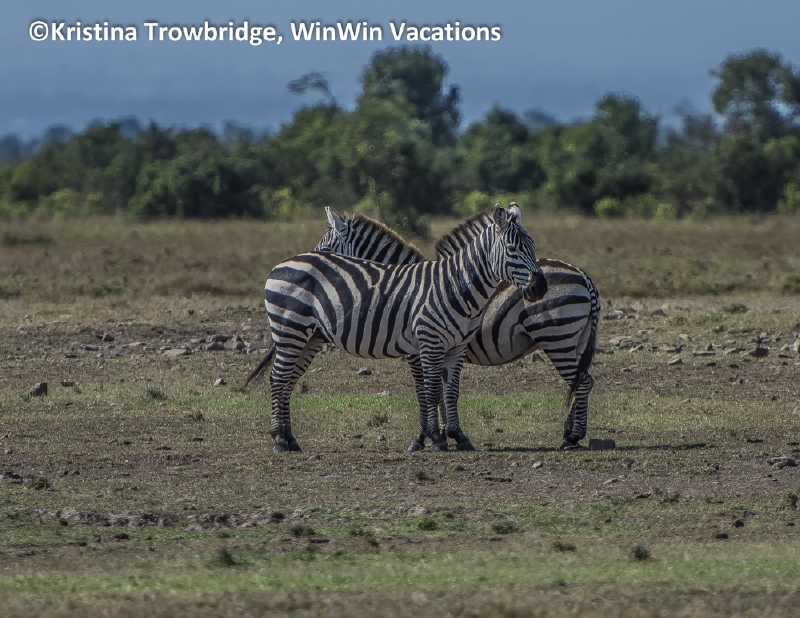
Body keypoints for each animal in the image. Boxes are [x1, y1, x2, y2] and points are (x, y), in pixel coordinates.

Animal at [249, 205, 548, 453]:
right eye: (512, 249)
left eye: (532, 246)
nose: (540, 287)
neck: (454, 284)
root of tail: (284, 263)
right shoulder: (426, 344)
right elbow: (428, 391)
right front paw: (432, 439)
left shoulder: (456, 347)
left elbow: (449, 392)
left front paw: (456, 437)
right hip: (291, 329)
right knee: (278, 379)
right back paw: (280, 440)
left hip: (307, 336)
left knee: (287, 380)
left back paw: (290, 440)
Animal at [314, 205, 599, 450]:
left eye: (324, 249)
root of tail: (584, 275)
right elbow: (441, 392)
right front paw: (444, 434)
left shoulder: (418, 352)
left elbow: (425, 392)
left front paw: (424, 438)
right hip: (576, 340)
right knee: (582, 380)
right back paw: (569, 432)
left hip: (557, 337)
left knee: (582, 381)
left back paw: (573, 436)